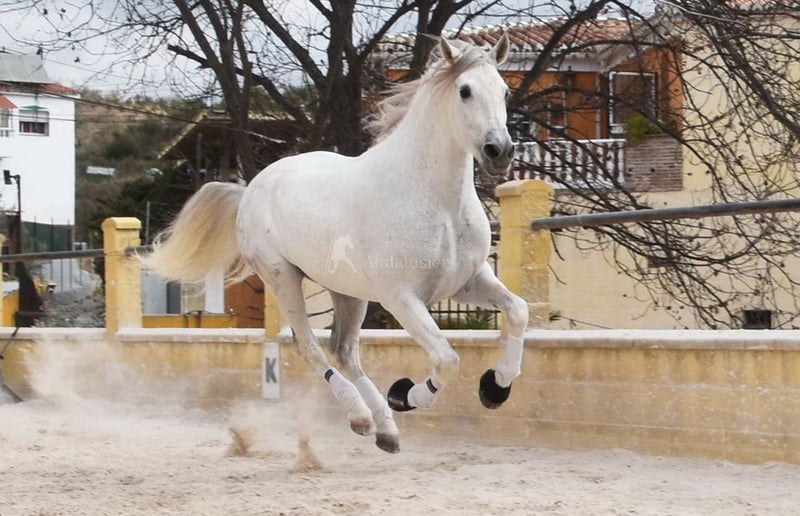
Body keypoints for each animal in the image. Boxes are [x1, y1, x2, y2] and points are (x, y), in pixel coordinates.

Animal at [145, 34, 529, 454]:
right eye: (465, 90)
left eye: (505, 90)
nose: (500, 152)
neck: (437, 201)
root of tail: (250, 189)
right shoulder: (402, 298)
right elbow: (447, 359)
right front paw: (404, 394)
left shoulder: (465, 283)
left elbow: (518, 311)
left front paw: (495, 387)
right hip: (283, 278)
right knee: (309, 346)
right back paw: (362, 416)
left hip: (347, 291)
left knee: (343, 349)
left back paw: (385, 430)